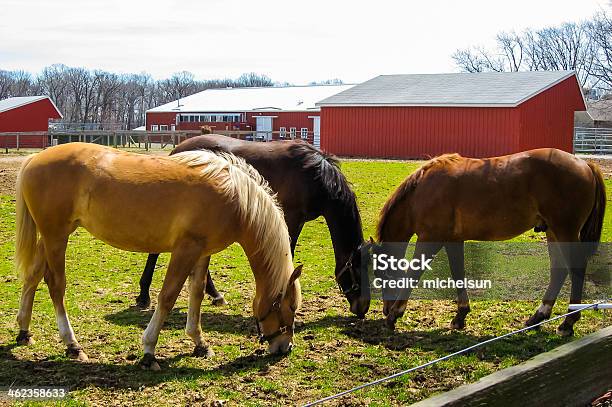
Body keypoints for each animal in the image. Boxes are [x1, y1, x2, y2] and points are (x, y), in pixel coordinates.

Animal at [14, 143, 302, 370]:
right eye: (290, 307)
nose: (285, 347)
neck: (235, 198)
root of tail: (34, 160)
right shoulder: (185, 250)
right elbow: (168, 296)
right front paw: (149, 351)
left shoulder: (201, 253)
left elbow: (196, 293)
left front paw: (199, 343)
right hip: (56, 237)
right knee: (55, 285)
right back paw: (72, 345)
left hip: (52, 237)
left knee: (32, 277)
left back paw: (24, 331)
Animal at [136, 134, 370, 318]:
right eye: (358, 272)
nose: (363, 308)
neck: (314, 174)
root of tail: (177, 150)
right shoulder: (292, 218)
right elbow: (289, 251)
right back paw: (144, 295)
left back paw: (215, 294)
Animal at [376, 148, 604, 336]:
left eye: (380, 275)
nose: (385, 309)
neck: (422, 191)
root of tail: (585, 164)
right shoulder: (452, 240)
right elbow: (458, 273)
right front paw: (460, 316)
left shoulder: (430, 239)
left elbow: (413, 273)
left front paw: (395, 314)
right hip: (553, 232)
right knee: (559, 270)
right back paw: (538, 317)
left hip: (565, 230)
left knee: (575, 268)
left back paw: (568, 322)